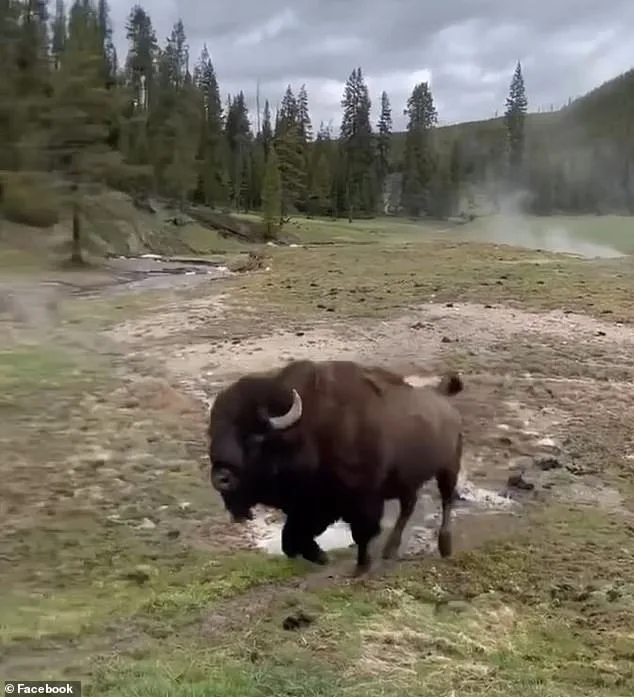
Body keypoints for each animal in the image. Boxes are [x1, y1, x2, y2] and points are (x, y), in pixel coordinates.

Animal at [208, 359, 464, 575]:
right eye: (213, 433)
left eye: (255, 437)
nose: (221, 478)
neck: (308, 431)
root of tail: (444, 401)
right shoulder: (310, 506)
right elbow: (290, 538)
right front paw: (322, 557)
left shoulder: (360, 500)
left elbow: (361, 533)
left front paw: (359, 567)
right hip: (407, 483)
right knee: (408, 508)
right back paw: (389, 551)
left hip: (448, 469)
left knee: (446, 501)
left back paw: (445, 547)